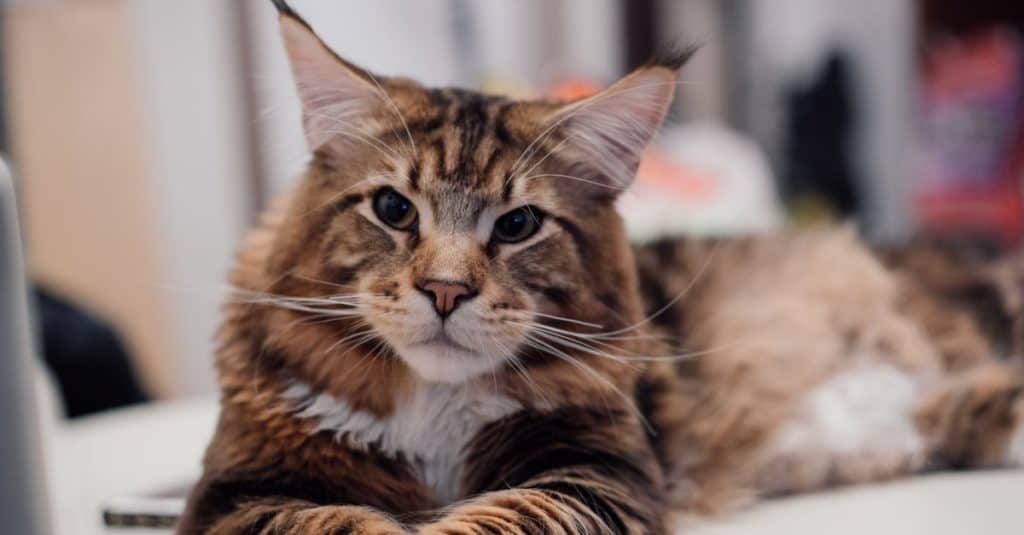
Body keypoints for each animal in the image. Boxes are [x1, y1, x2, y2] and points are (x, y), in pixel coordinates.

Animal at [178, 2, 1024, 528]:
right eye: (393, 210)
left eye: (518, 225)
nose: (445, 290)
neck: (435, 416)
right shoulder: (245, 486)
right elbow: (337, 521)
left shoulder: (595, 468)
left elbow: (501, 516)